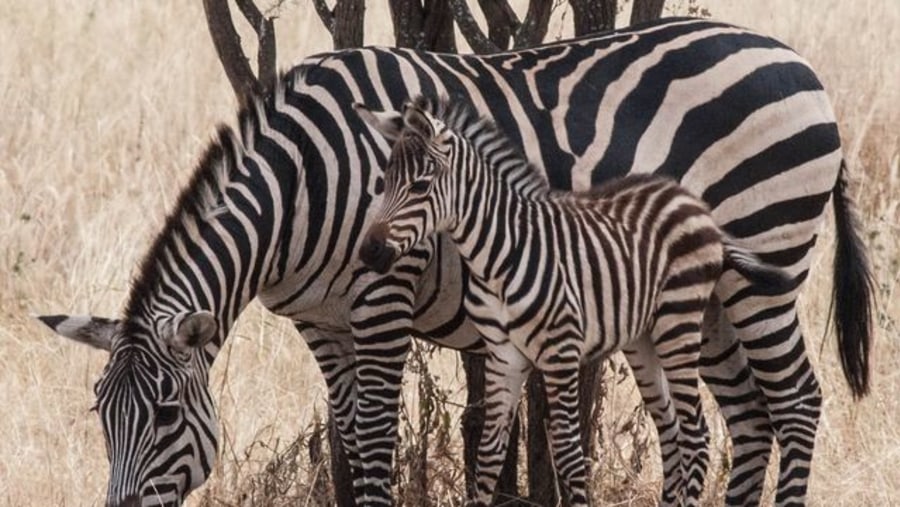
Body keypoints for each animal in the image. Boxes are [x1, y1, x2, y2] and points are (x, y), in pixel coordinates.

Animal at [356, 96, 792, 507]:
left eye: (420, 186)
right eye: (384, 183)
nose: (369, 253)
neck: (496, 255)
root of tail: (691, 201)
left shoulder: (559, 352)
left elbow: (567, 454)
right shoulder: (504, 356)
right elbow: (488, 456)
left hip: (679, 326)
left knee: (695, 433)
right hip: (644, 339)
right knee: (672, 430)